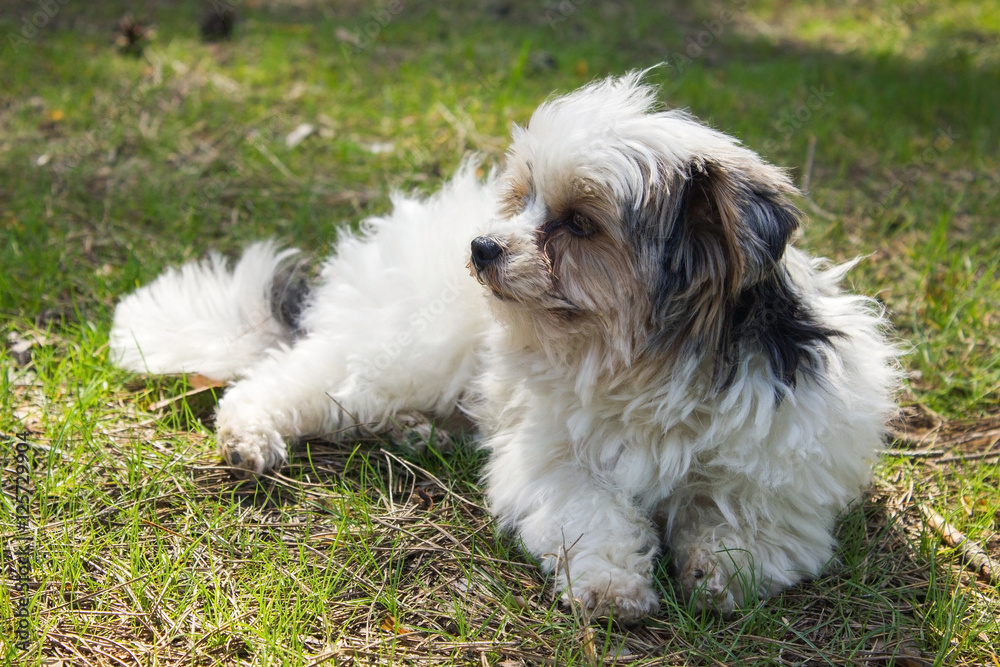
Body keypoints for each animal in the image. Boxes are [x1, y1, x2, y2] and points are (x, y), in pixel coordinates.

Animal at [109, 72, 900, 620]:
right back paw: (252, 433)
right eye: (523, 200)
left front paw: (723, 567)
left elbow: (743, 511)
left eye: (579, 223)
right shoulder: (553, 454)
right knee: (296, 376)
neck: (643, 362)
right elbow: (588, 508)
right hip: (401, 350)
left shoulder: (783, 454)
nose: (483, 246)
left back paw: (421, 432)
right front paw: (611, 580)